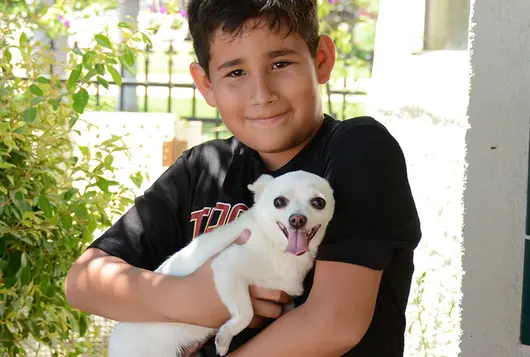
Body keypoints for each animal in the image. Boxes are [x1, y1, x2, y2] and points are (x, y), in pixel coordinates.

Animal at [107, 170, 334, 356]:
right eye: (279, 202)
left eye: (318, 202)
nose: (297, 219)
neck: (277, 247)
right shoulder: (227, 266)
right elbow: (246, 312)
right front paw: (224, 337)